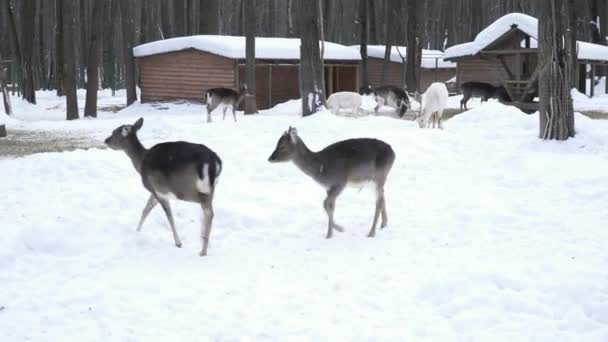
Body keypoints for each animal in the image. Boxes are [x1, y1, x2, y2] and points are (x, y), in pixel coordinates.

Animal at [105, 117, 223, 256]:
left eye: (114, 132)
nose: (106, 140)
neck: (140, 163)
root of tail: (215, 162)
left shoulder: (157, 189)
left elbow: (168, 215)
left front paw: (178, 243)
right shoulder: (155, 189)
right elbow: (146, 209)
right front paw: (137, 230)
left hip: (185, 188)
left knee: (208, 211)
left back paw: (203, 250)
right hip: (211, 187)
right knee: (207, 210)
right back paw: (204, 242)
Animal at [268, 127, 396, 239]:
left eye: (282, 146)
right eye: (277, 143)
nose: (270, 158)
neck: (320, 168)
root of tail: (393, 152)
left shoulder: (340, 182)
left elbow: (325, 204)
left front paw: (334, 232)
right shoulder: (328, 188)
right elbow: (329, 206)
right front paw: (334, 232)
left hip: (379, 177)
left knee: (379, 202)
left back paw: (371, 233)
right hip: (377, 181)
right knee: (383, 197)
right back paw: (383, 224)